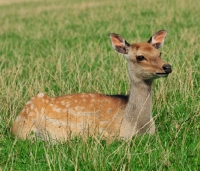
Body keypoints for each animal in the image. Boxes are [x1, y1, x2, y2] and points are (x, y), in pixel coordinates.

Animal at [11, 30, 172, 141]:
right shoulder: (105, 134)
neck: (136, 126)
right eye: (140, 57)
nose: (167, 67)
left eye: (159, 53)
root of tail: (13, 126)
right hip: (25, 129)